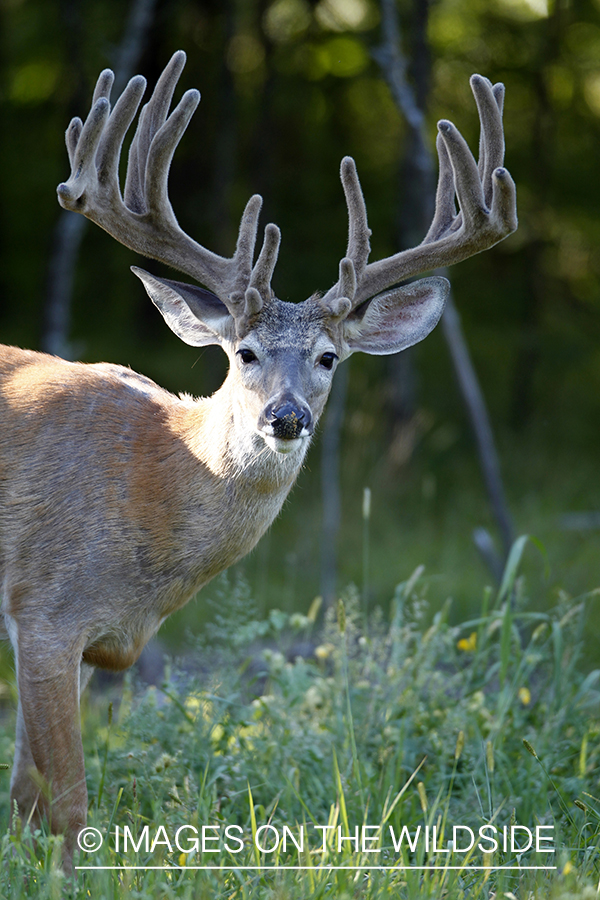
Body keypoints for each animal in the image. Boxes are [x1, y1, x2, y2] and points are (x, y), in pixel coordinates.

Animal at [0, 51, 516, 872]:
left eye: (329, 358)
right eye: (242, 352)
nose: (287, 416)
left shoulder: (84, 642)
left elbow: (24, 796)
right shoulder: (43, 607)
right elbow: (68, 803)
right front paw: (63, 882)